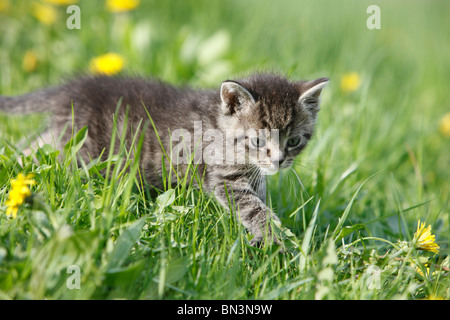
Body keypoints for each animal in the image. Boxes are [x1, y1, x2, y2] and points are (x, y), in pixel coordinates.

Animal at [0, 74, 330, 246]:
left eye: (294, 141)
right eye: (258, 141)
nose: (279, 162)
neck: (219, 125)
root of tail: (74, 88)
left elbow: (258, 201)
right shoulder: (224, 179)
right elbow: (252, 207)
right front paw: (276, 237)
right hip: (78, 148)